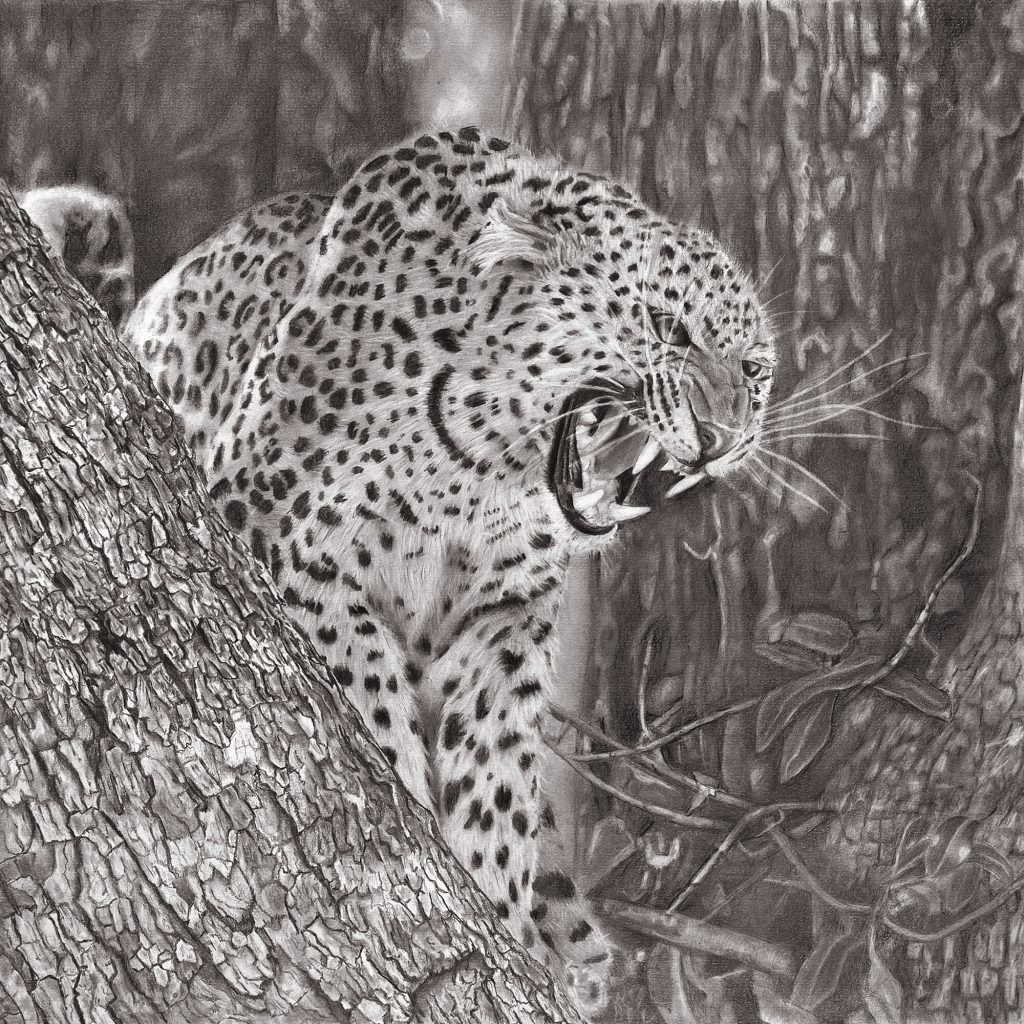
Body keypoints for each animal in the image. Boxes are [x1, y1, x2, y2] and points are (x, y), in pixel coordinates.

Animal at [22, 126, 775, 1014]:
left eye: (755, 370)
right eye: (668, 326)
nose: (725, 436)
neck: (486, 456)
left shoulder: (506, 614)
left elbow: (494, 766)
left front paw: (493, 897)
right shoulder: (273, 528)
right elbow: (360, 675)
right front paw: (402, 780)